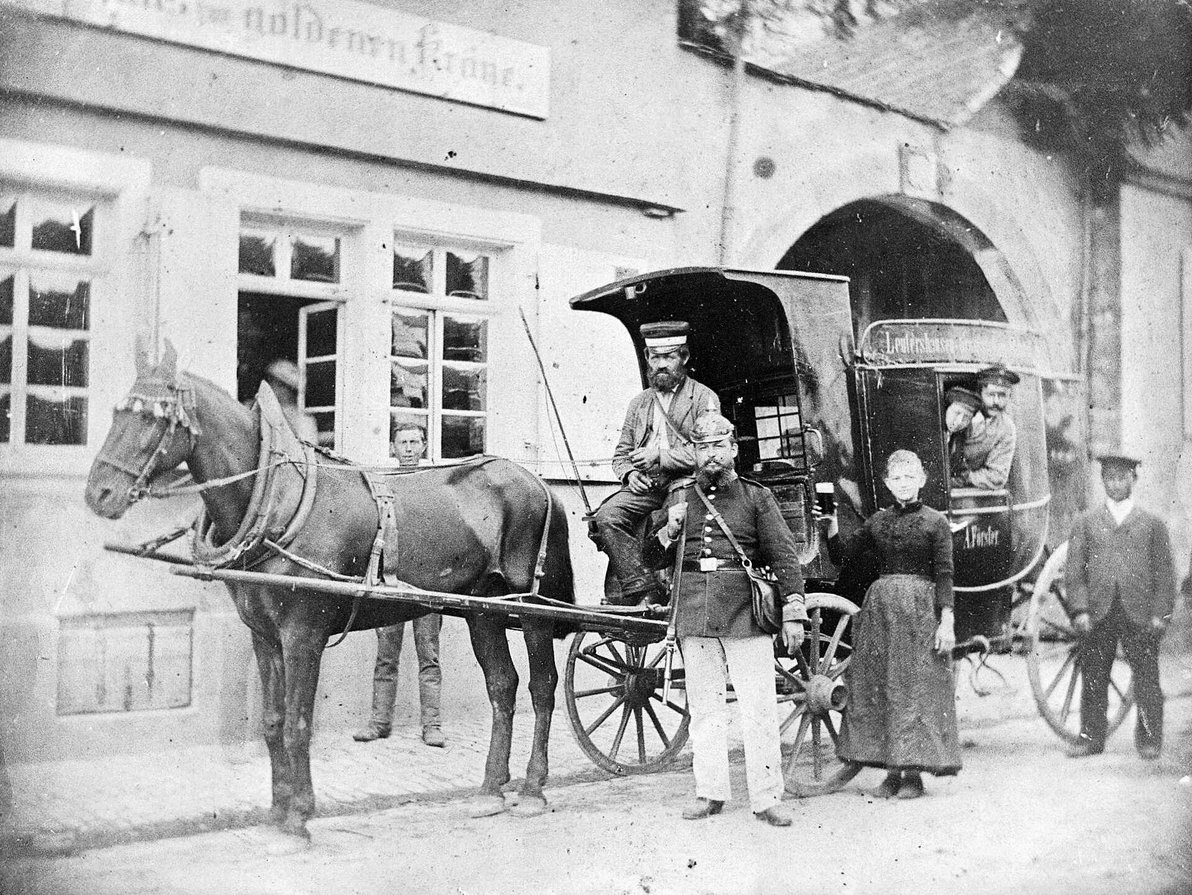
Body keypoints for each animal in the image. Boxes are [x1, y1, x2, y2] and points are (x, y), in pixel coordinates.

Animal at [82, 343, 572, 853]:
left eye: (152, 417)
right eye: (119, 411)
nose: (99, 493)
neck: (279, 501)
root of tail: (540, 484)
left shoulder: (303, 635)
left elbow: (298, 723)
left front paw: (298, 818)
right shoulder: (265, 636)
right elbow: (273, 722)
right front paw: (277, 814)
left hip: (532, 611)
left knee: (542, 687)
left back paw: (533, 790)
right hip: (484, 609)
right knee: (503, 686)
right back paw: (491, 790)